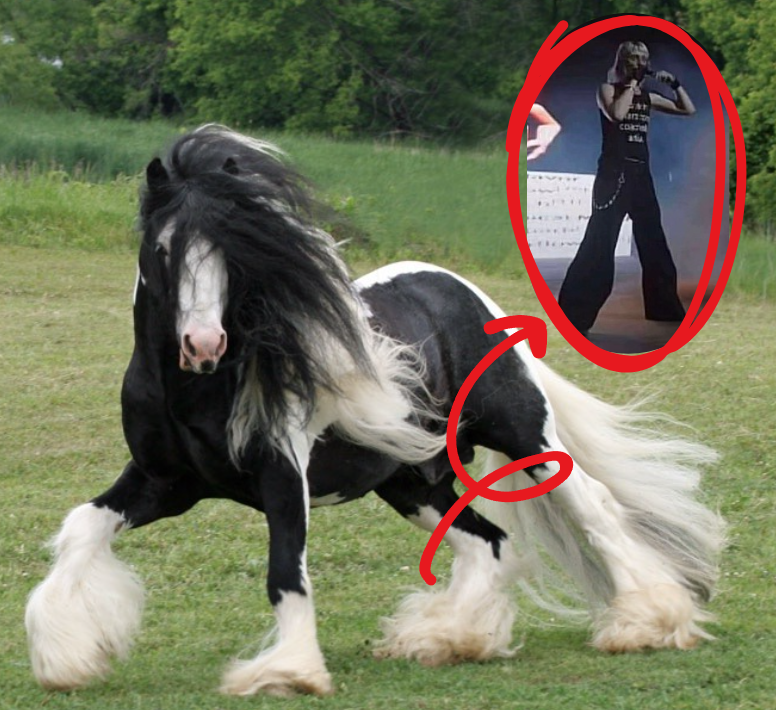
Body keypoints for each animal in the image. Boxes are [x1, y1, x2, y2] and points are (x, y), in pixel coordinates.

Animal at [25, 125, 725, 697]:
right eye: (165, 249)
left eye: (236, 252)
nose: (202, 345)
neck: (192, 392)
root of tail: (468, 295)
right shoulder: (164, 482)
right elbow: (81, 527)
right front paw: (66, 657)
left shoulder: (282, 479)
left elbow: (285, 572)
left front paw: (290, 673)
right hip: (412, 481)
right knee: (488, 542)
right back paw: (448, 638)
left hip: (525, 436)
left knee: (595, 510)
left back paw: (646, 623)